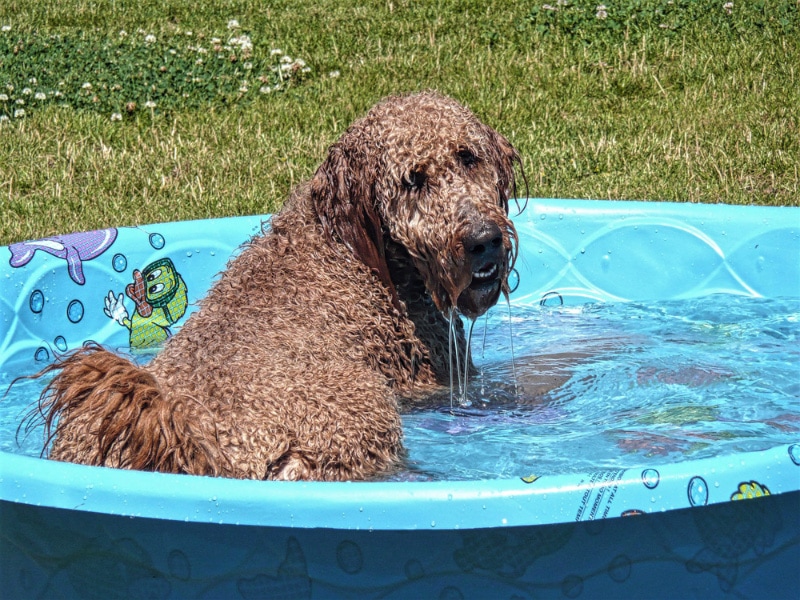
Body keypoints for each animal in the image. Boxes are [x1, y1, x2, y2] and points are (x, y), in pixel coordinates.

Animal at [34, 90, 520, 482]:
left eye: (467, 156)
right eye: (413, 179)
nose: (483, 240)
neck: (351, 246)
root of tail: (183, 440)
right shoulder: (432, 376)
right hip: (362, 414)